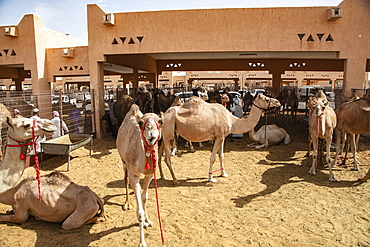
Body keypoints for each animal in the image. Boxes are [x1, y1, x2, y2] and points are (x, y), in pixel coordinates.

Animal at [115, 104, 162, 247]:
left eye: (161, 121)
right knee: (125, 180)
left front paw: (147, 220)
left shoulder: (150, 174)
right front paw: (142, 242)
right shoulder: (134, 174)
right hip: (123, 161)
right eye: (141, 123)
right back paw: (127, 204)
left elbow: (144, 197)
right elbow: (140, 211)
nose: (151, 133)